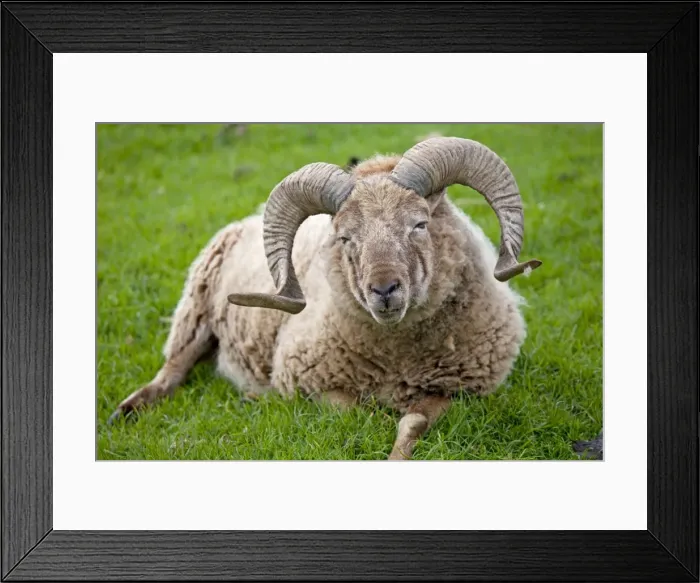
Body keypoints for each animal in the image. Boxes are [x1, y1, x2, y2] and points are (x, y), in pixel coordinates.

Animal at [108, 136, 542, 460]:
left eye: (420, 224)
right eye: (345, 237)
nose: (384, 290)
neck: (399, 361)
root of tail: (248, 218)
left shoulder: (459, 391)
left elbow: (414, 422)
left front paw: (396, 453)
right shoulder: (306, 380)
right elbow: (358, 409)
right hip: (195, 312)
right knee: (172, 371)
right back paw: (125, 412)